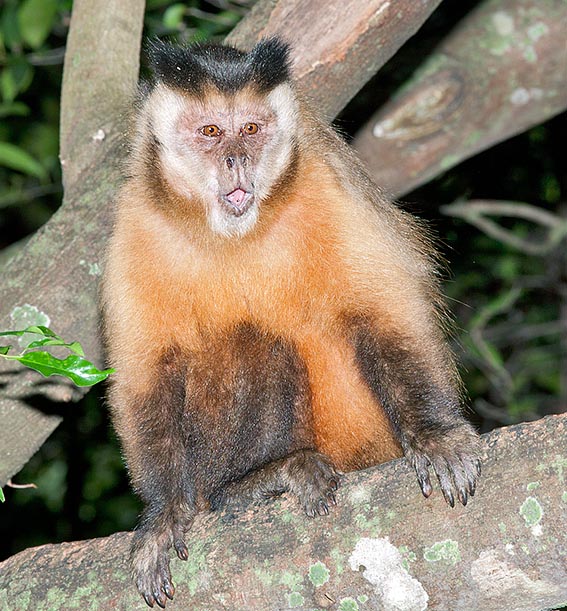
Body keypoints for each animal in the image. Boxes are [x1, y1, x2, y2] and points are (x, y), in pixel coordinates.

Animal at [102, 37, 480, 608]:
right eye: (211, 132)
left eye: (251, 129)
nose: (237, 159)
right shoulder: (135, 218)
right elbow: (146, 376)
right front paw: (164, 511)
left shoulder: (326, 179)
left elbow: (383, 309)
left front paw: (435, 433)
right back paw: (247, 483)